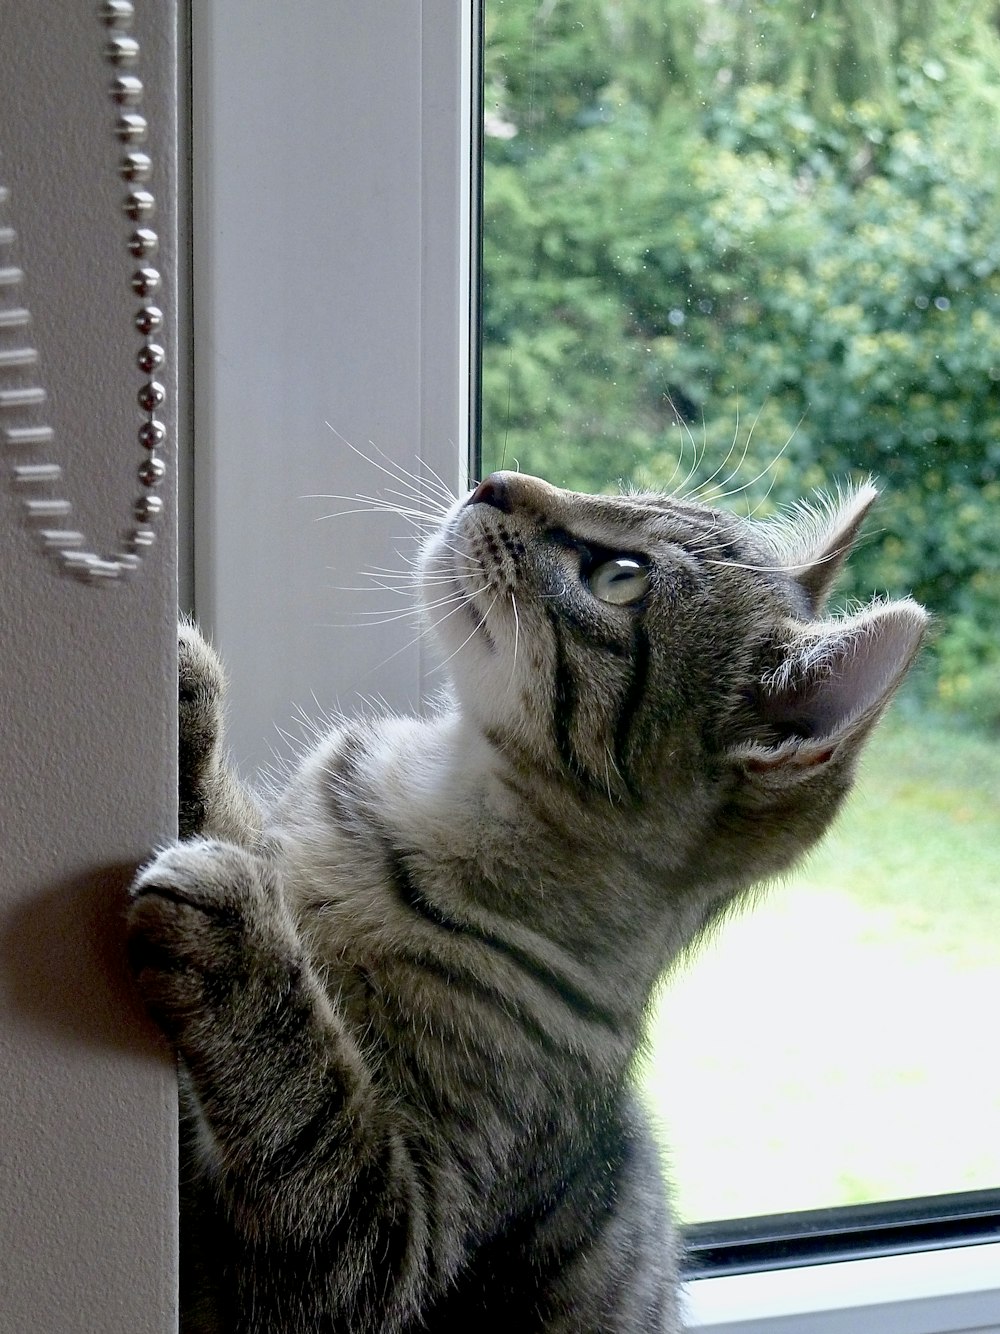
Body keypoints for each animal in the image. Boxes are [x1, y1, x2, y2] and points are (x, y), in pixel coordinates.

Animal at [129, 472, 928, 1334]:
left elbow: (312, 1123)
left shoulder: (382, 1254)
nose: (495, 482)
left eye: (621, 577)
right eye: (623, 490)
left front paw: (239, 939)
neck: (422, 804)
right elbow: (231, 820)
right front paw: (185, 700)